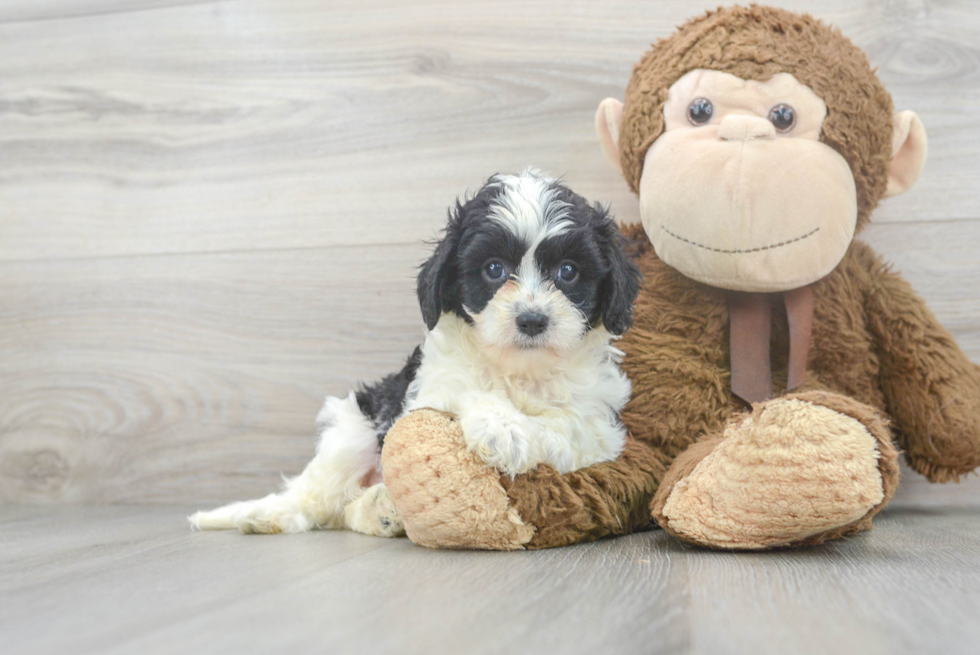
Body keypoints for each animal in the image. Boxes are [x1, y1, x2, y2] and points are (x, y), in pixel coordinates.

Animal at [189, 169, 644, 540]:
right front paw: (503, 428)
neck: (519, 370)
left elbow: (567, 424)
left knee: (344, 510)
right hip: (354, 429)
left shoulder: (602, 430)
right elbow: (464, 392)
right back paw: (272, 514)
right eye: (493, 270)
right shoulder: (428, 390)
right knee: (318, 497)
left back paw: (381, 511)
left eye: (568, 272)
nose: (532, 320)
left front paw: (519, 433)